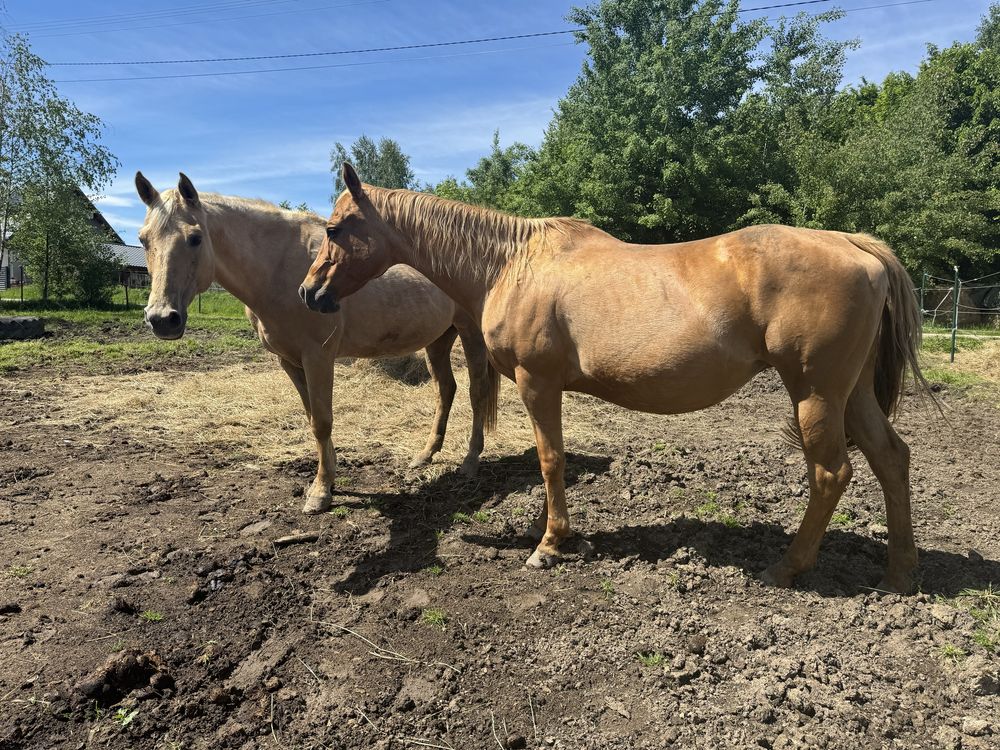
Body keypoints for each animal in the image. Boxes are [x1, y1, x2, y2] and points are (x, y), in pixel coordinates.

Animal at [135, 175, 500, 516]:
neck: (278, 269)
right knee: (445, 389)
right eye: (143, 239)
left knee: (476, 391)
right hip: (439, 339)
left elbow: (323, 420)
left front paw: (321, 492)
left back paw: (470, 460)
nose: (162, 318)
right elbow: (313, 417)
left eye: (195, 238)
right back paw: (425, 454)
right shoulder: (290, 361)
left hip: (469, 333)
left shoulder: (318, 357)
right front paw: (330, 474)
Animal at [296, 164, 928, 592]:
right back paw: (899, 572)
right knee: (891, 458)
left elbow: (551, 460)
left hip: (815, 392)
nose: (308, 293)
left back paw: (789, 566)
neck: (510, 263)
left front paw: (550, 544)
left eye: (337, 228)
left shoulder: (537, 383)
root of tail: (856, 246)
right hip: (851, 394)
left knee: (831, 473)